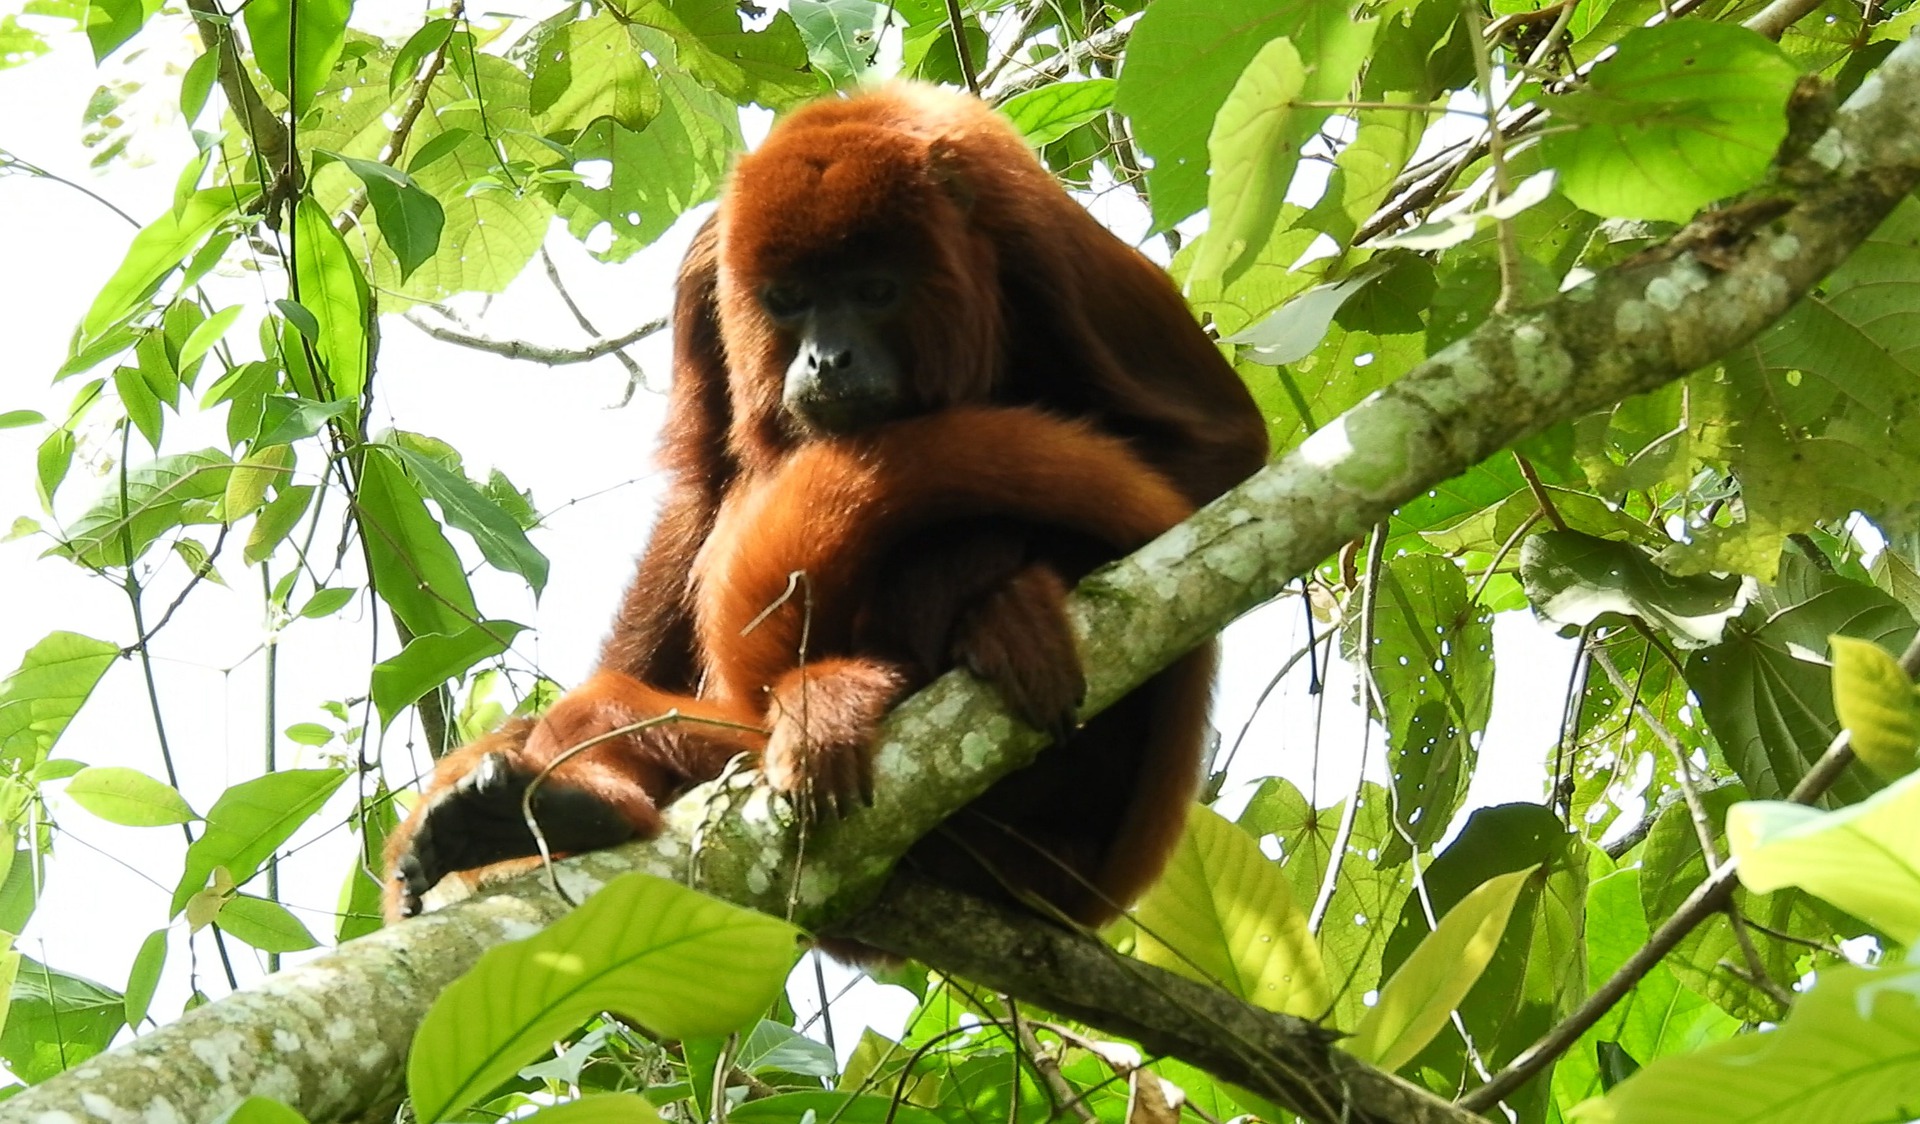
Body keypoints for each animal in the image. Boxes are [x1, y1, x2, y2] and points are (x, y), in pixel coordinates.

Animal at [382, 81, 1267, 929]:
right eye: (786, 300)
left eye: (875, 290)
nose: (826, 359)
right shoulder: (707, 266)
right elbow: (700, 488)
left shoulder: (1036, 235)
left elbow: (1220, 454)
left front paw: (1001, 604)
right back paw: (558, 811)